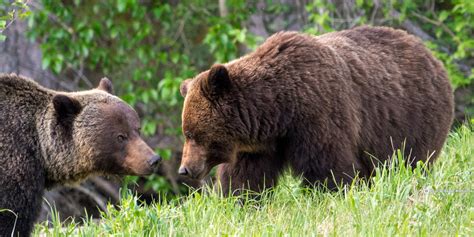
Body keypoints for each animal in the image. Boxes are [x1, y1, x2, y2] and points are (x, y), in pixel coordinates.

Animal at [179, 25, 456, 195]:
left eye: (192, 134)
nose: (184, 169)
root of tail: (432, 56)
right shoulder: (258, 145)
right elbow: (244, 177)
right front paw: (240, 199)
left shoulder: (317, 115)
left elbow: (328, 167)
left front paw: (329, 193)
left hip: (413, 119)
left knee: (410, 160)